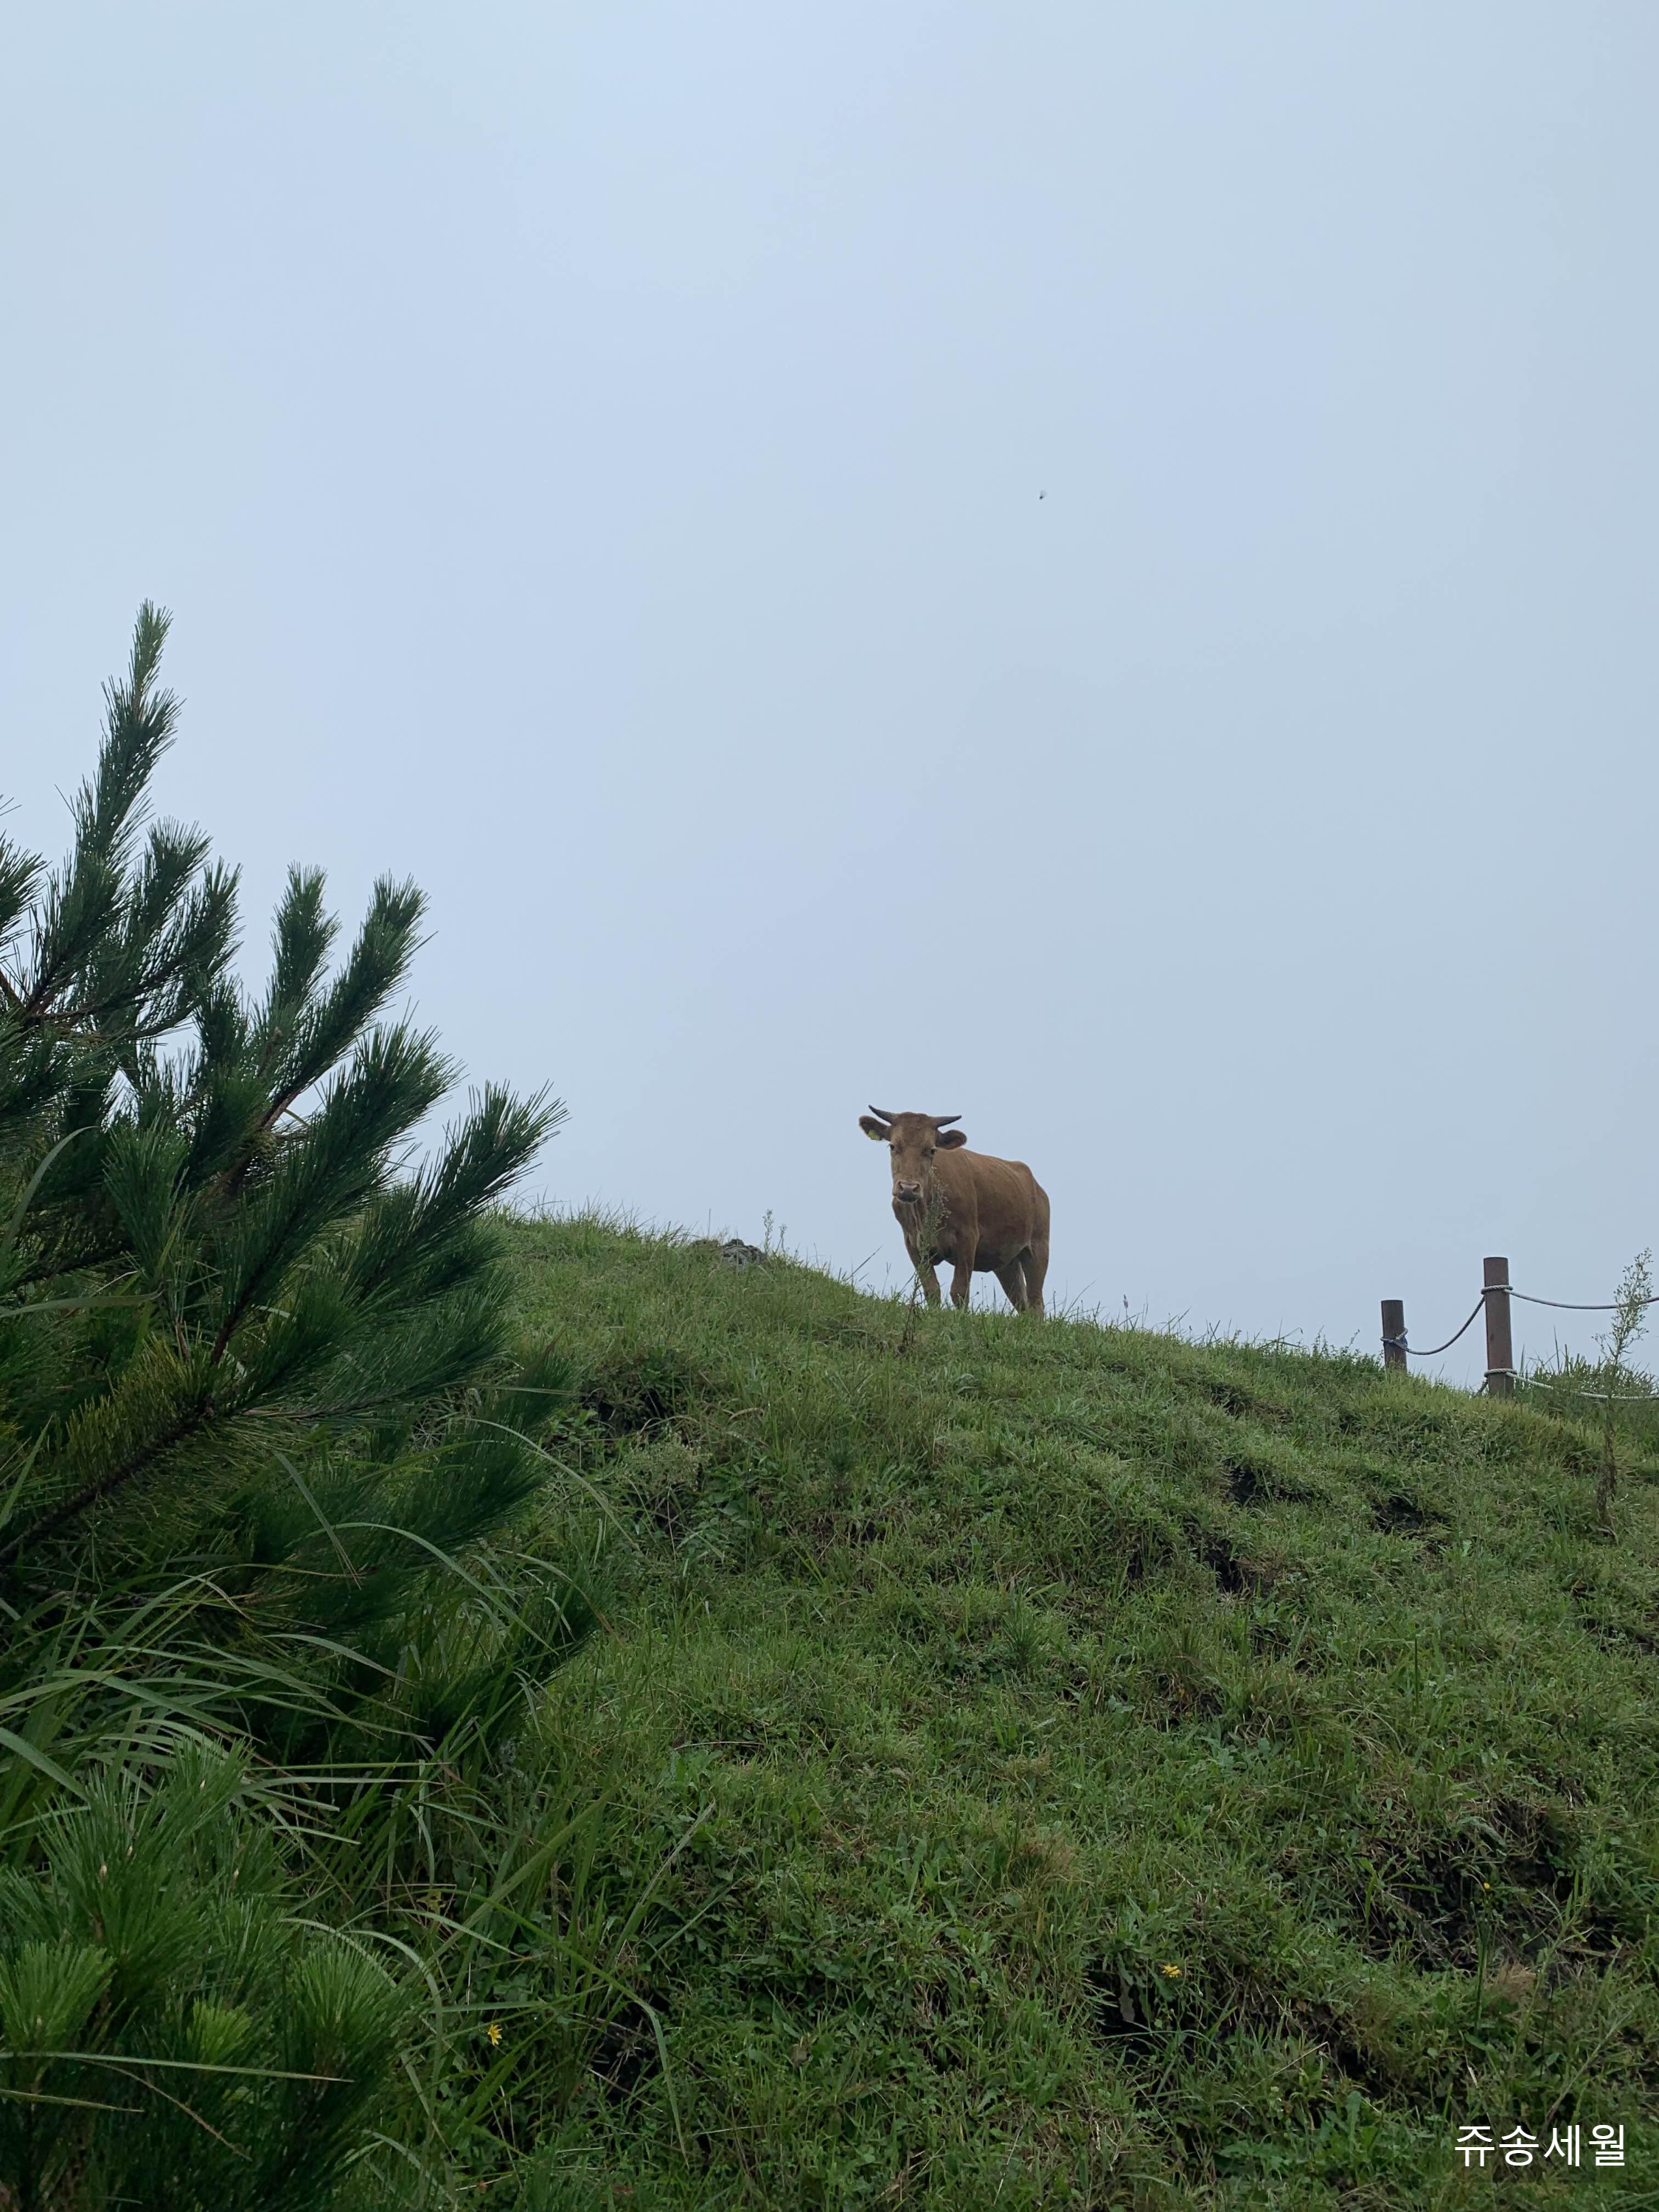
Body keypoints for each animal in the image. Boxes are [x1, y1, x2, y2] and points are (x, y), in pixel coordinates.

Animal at [858, 1106, 1053, 1310]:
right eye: (893, 1146)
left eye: (931, 1150)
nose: (909, 1188)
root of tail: (1037, 1187)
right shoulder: (912, 1243)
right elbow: (932, 1290)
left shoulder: (968, 1238)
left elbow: (959, 1291)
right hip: (1007, 1262)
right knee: (1022, 1303)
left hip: (1038, 1247)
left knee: (1036, 1303)